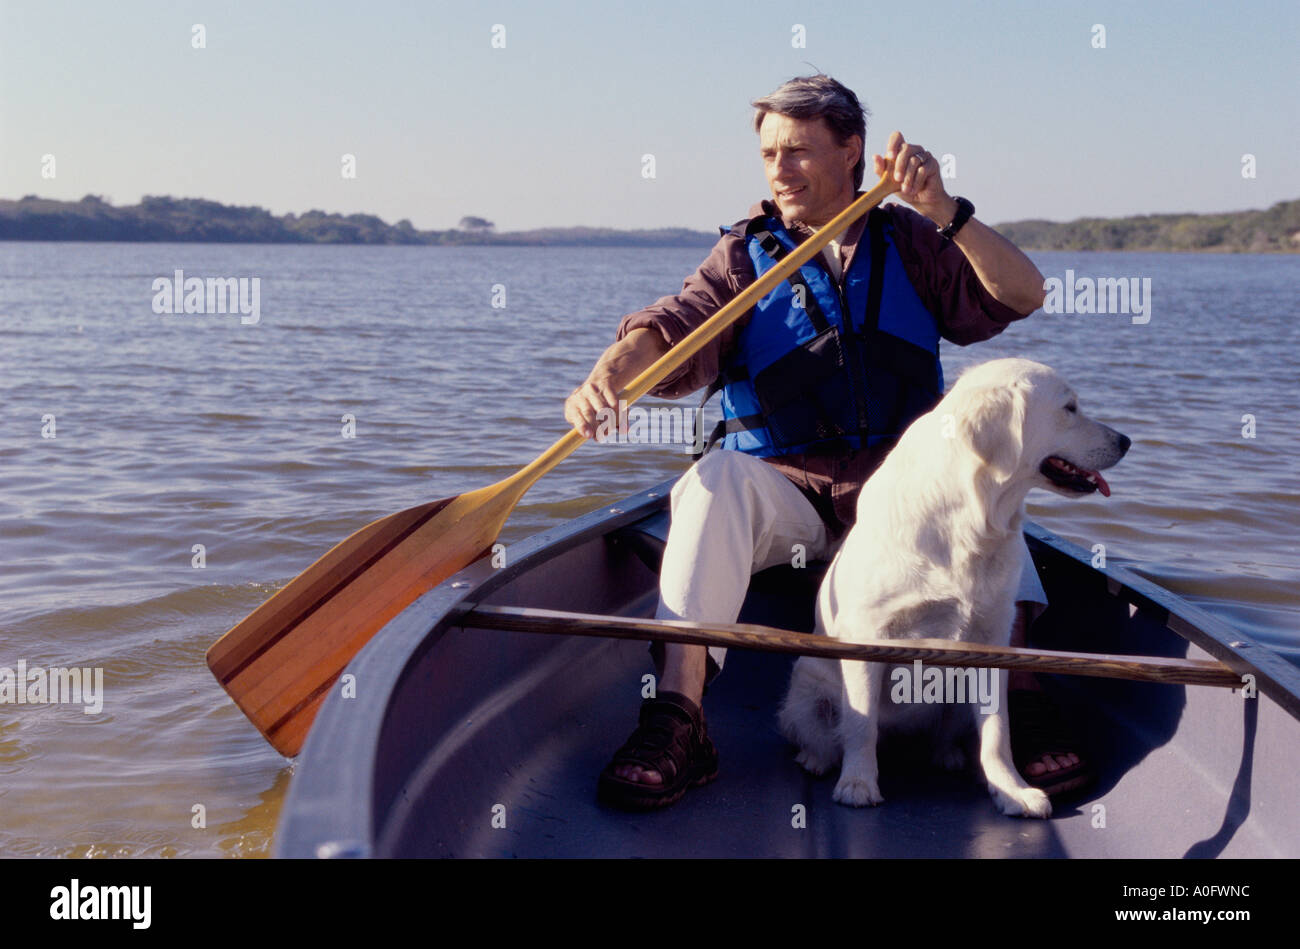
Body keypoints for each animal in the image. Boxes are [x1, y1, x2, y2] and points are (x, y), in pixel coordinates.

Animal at [780, 358, 1128, 816]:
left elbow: (998, 733)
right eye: (1069, 408)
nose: (1126, 441)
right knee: (824, 730)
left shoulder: (993, 639)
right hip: (807, 679)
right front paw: (858, 782)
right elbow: (860, 723)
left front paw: (1010, 789)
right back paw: (818, 759)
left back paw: (949, 756)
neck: (973, 519)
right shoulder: (867, 634)